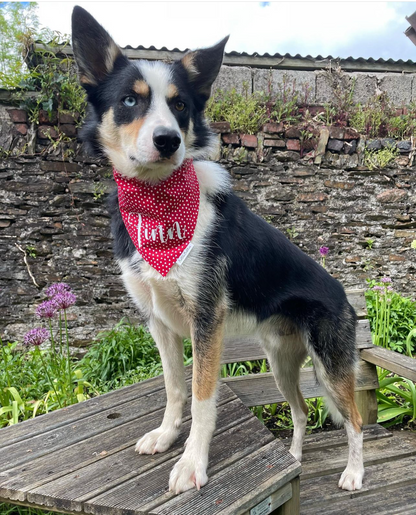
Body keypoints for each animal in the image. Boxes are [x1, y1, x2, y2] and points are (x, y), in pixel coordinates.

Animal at [71, 5, 364, 496]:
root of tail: (345, 294)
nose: (168, 140)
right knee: (302, 411)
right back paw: (294, 456)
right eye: (130, 101)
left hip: (330, 366)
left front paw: (192, 463)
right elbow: (174, 388)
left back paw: (355, 473)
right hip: (280, 362)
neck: (158, 202)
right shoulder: (158, 321)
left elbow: (202, 398)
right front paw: (167, 436)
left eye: (181, 105)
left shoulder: (207, 320)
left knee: (356, 420)